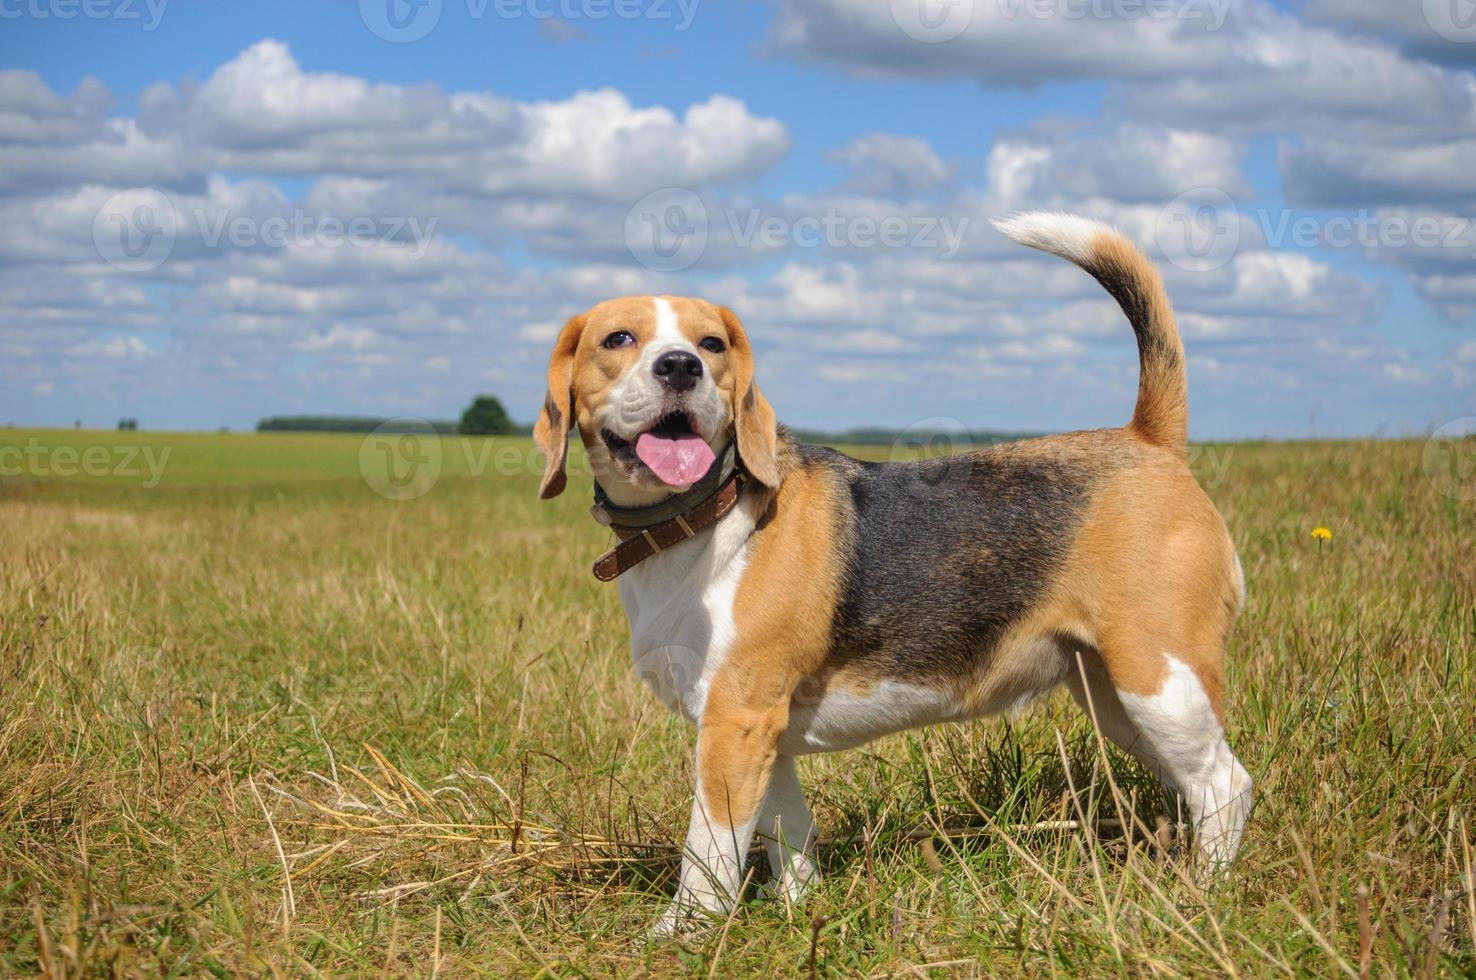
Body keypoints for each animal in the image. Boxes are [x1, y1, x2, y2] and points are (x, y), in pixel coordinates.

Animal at [537, 212, 1251, 932]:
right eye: (618, 339)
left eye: (711, 344)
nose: (681, 366)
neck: (703, 517)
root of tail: (1148, 440)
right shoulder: (765, 733)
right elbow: (786, 830)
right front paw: (799, 912)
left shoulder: (734, 718)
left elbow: (708, 847)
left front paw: (683, 933)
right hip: (1115, 696)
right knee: (1191, 784)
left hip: (1159, 679)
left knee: (1225, 784)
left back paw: (1203, 895)